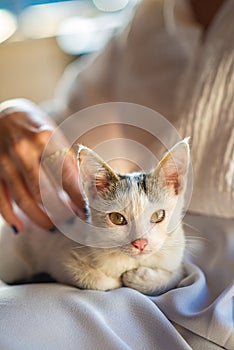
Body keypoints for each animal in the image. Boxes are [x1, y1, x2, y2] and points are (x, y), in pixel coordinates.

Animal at [0, 139, 189, 296]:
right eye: (117, 218)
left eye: (158, 215)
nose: (140, 243)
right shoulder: (59, 255)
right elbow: (93, 279)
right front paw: (116, 280)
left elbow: (177, 274)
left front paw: (141, 278)